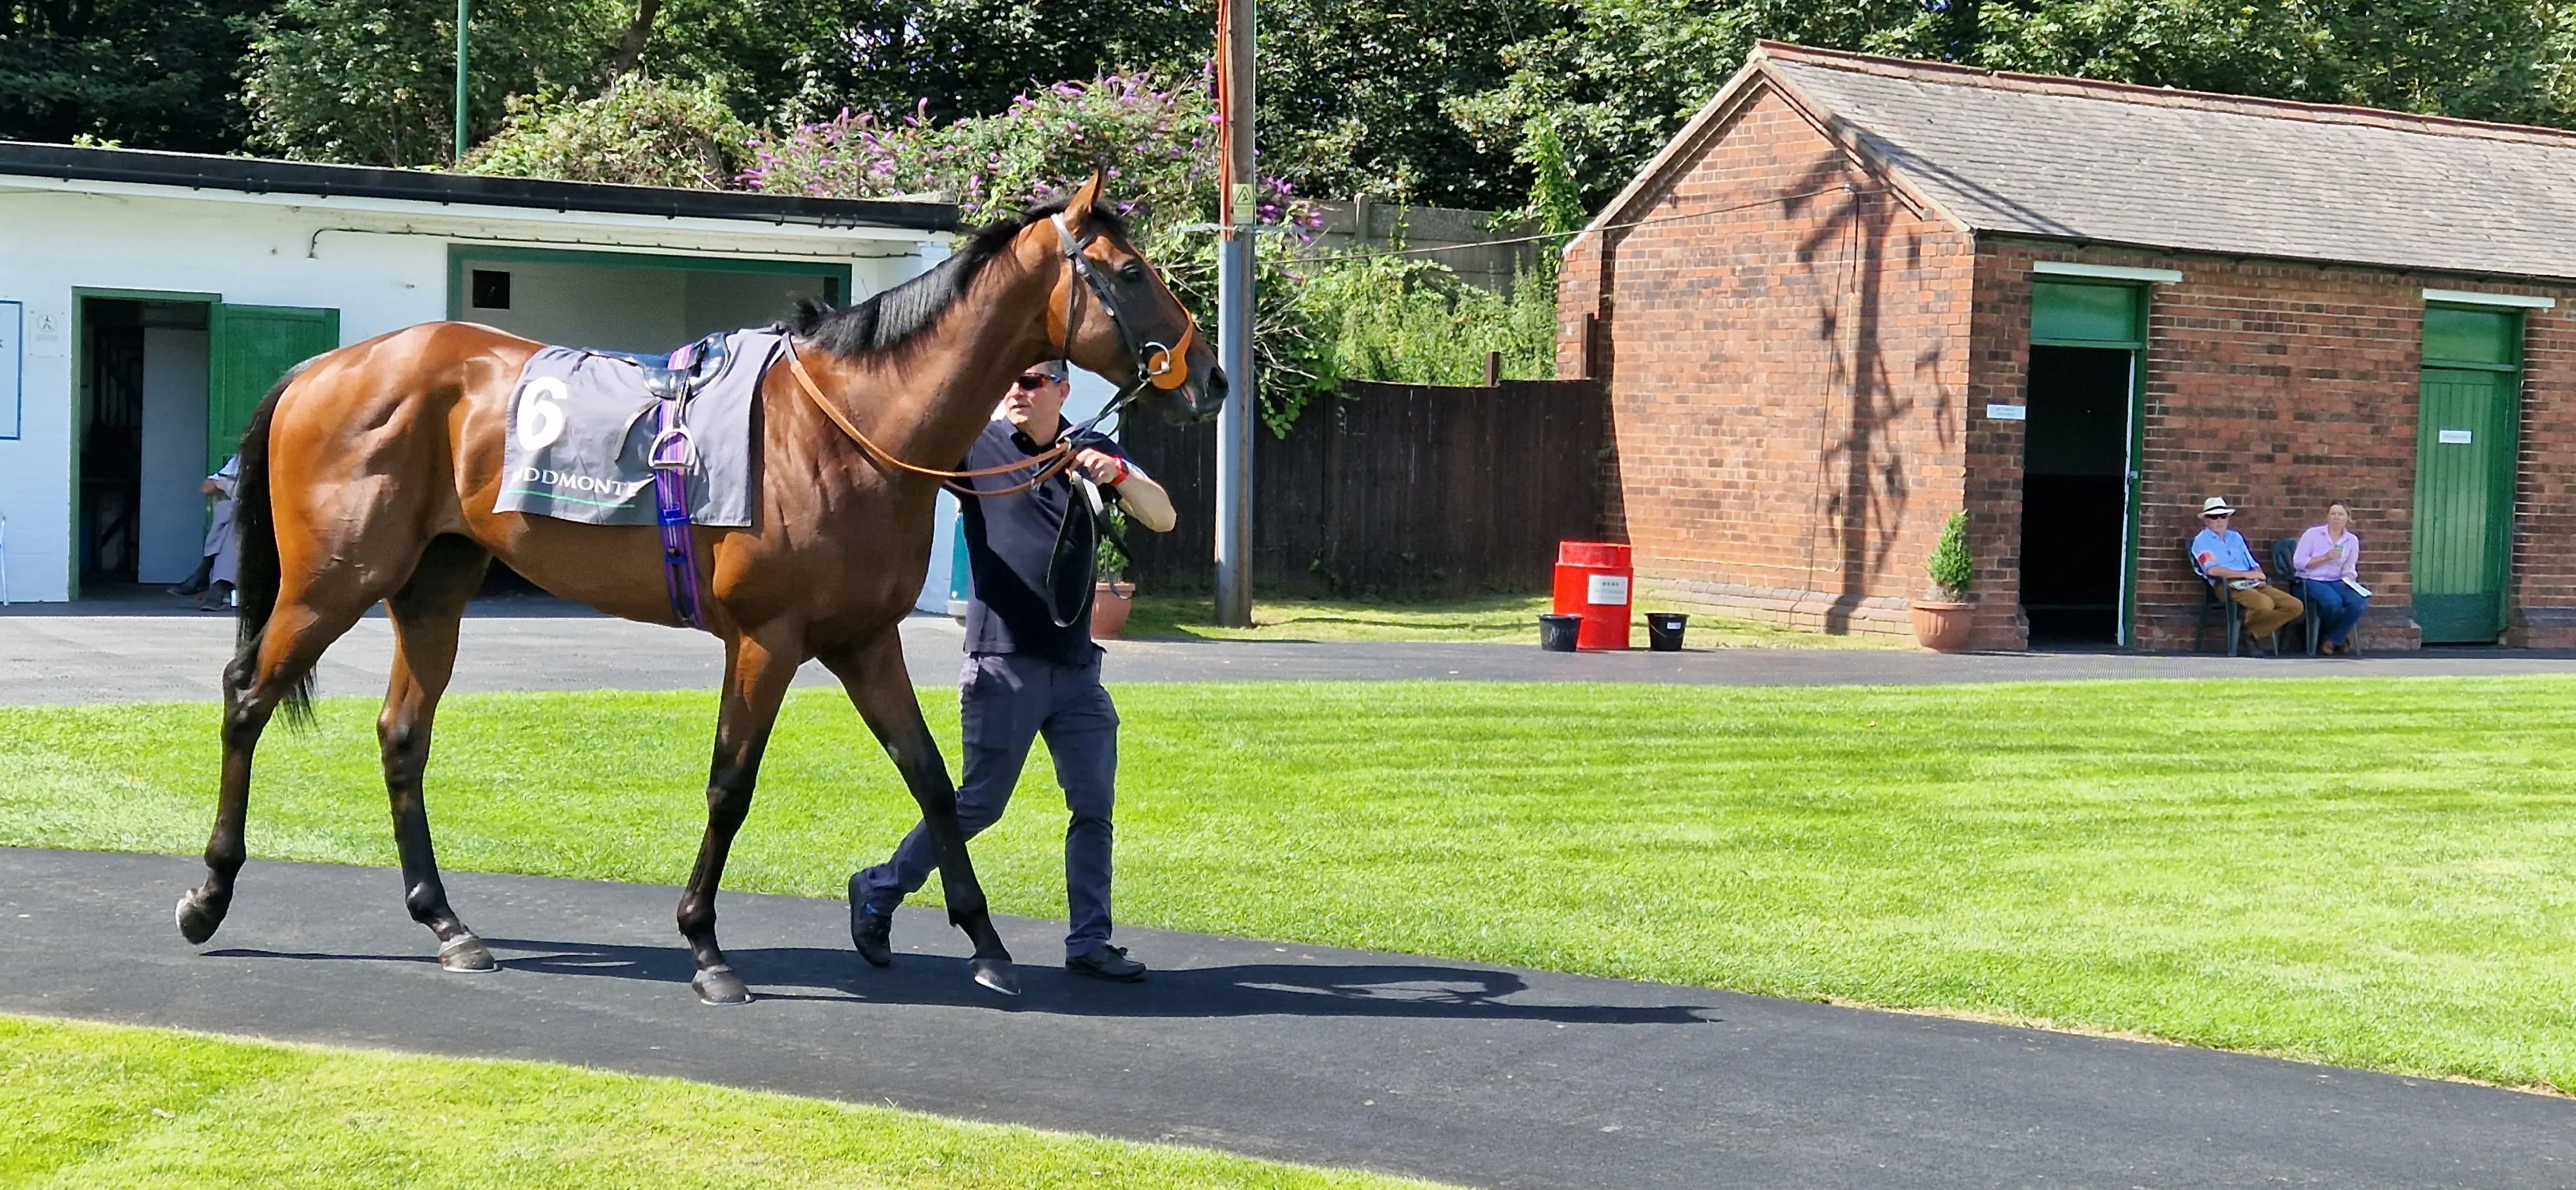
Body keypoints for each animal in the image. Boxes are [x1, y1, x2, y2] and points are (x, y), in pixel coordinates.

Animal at [176, 176, 1221, 1005]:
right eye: (1131, 273)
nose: (1209, 377)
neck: (849, 428)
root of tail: (324, 366)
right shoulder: (766, 639)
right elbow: (731, 783)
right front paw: (706, 946)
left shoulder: (863, 639)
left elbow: (930, 777)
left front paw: (986, 941)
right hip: (333, 583)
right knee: (246, 698)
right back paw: (209, 897)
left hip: (433, 588)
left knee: (402, 736)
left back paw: (448, 925)